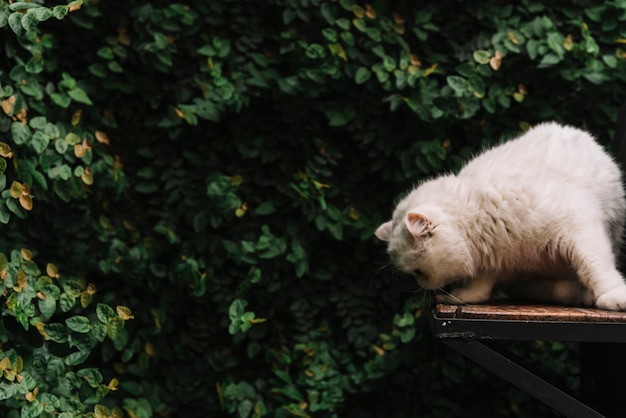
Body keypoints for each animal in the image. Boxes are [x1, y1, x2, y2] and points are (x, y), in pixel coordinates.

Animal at [372, 121, 624, 310]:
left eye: (417, 272)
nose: (421, 284)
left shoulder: (578, 223)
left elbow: (595, 265)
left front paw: (613, 295)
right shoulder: (495, 263)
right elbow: (480, 289)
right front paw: (461, 296)